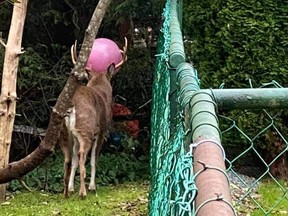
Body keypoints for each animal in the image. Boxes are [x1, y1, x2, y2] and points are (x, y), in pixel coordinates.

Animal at [59, 37, 127, 197]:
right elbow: (94, 160)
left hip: (66, 133)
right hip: (86, 129)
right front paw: (92, 186)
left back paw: (66, 192)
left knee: (69, 158)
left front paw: (71, 187)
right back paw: (83, 192)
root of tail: (72, 106)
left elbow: (75, 161)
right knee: (82, 155)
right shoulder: (101, 131)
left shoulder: (76, 135)